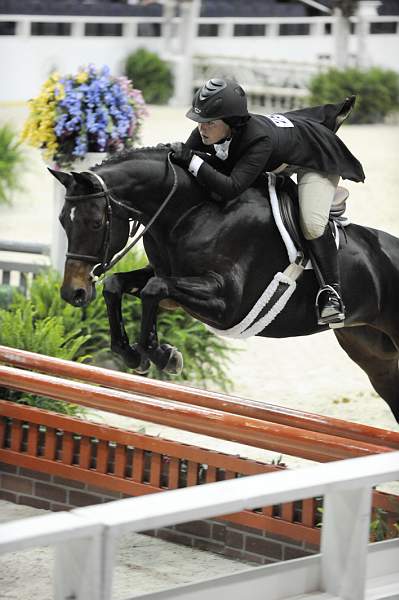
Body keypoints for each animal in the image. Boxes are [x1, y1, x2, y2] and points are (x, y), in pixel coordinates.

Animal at [49, 147, 399, 424]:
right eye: (63, 220)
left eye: (96, 223)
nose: (73, 292)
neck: (191, 211)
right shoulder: (167, 278)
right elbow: (117, 284)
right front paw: (135, 354)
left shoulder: (228, 304)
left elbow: (154, 290)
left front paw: (163, 355)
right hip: (373, 354)